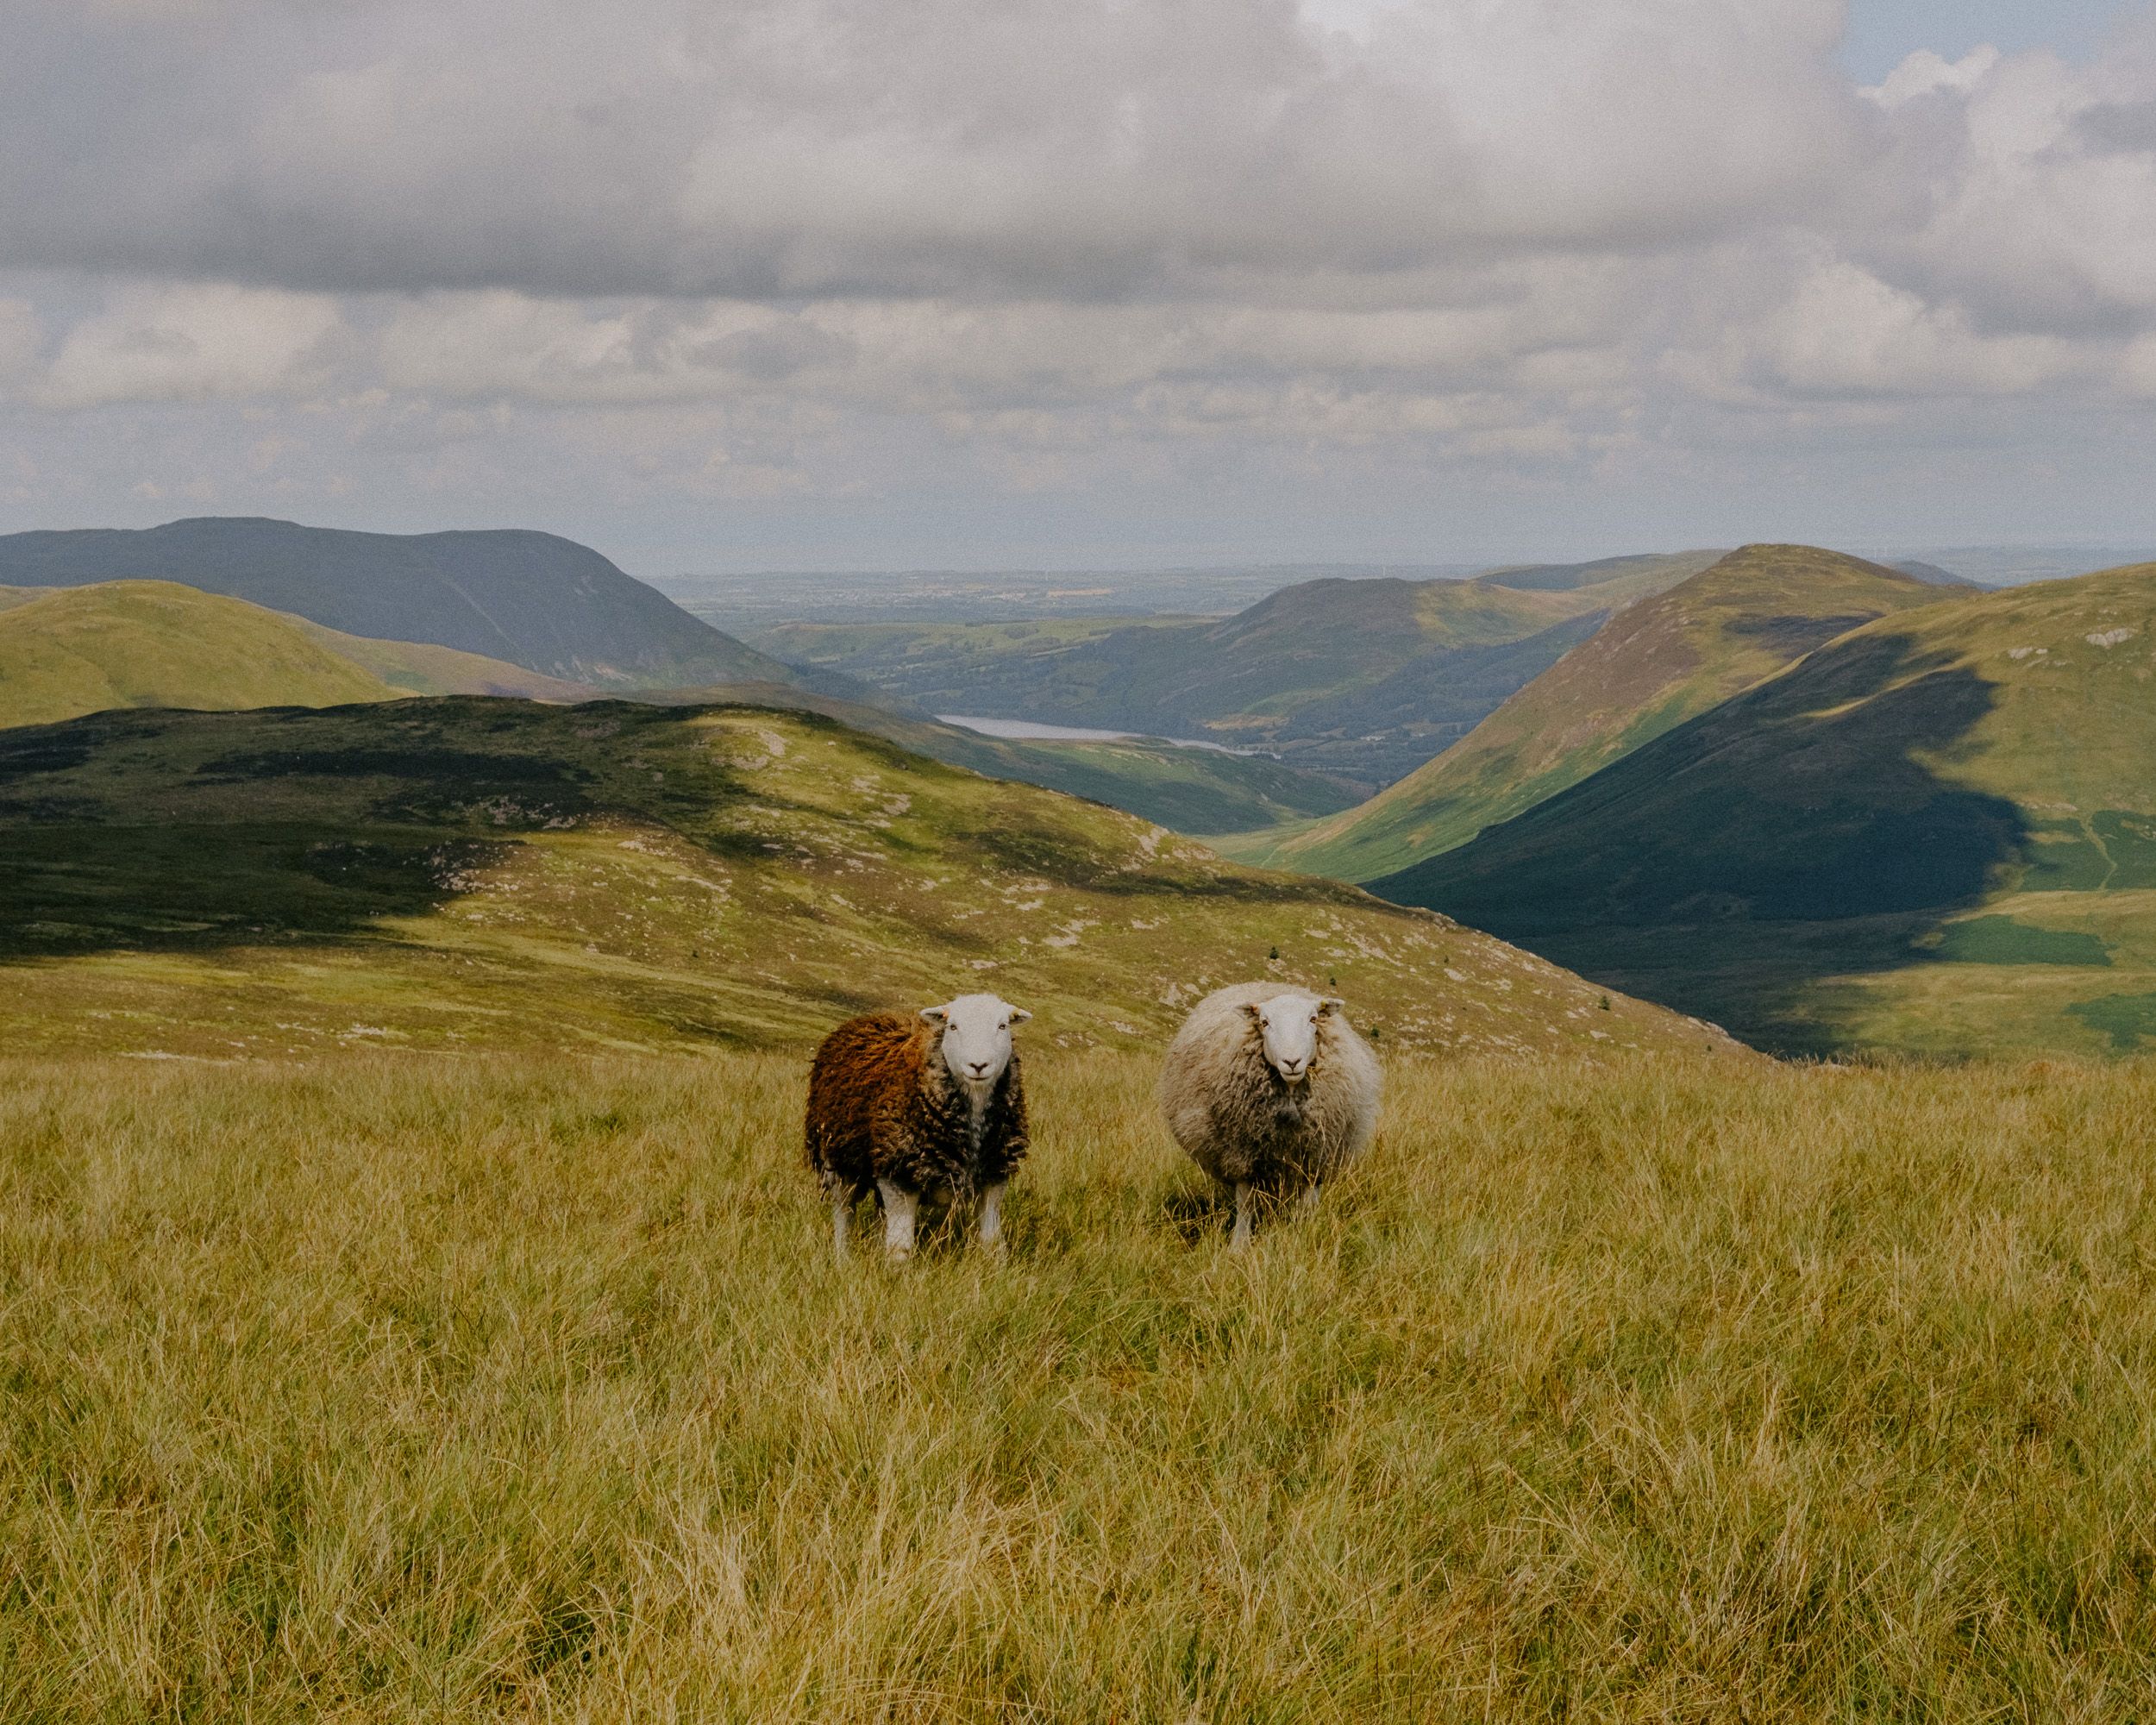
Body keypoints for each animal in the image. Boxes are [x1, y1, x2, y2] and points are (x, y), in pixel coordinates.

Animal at [805, 993, 1032, 1261]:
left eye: (1002, 1026)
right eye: (952, 1027)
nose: (978, 1065)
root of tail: (869, 1018)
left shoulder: (994, 1175)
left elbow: (992, 1242)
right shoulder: (899, 1175)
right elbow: (901, 1248)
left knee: (880, 1216)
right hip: (836, 1158)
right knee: (843, 1211)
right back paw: (843, 1258)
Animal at [1159, 983, 1381, 1249]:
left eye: (1313, 1019)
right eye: (1264, 1022)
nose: (1292, 1062)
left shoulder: (1317, 1156)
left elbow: (1308, 1203)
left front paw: (1304, 1234)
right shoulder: (1243, 1155)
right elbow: (1245, 1203)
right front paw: (1238, 1246)